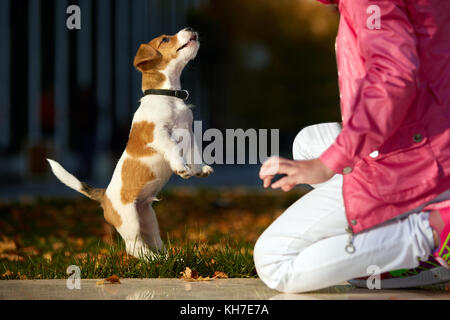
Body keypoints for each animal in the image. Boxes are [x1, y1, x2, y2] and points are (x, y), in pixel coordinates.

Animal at [48, 26, 214, 258]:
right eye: (165, 39)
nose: (190, 29)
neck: (168, 96)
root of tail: (104, 196)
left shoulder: (188, 133)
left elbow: (194, 153)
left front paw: (199, 169)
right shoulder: (158, 134)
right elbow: (173, 148)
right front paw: (181, 168)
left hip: (148, 218)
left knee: (153, 241)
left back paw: (169, 257)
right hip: (130, 221)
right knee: (134, 247)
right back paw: (153, 260)